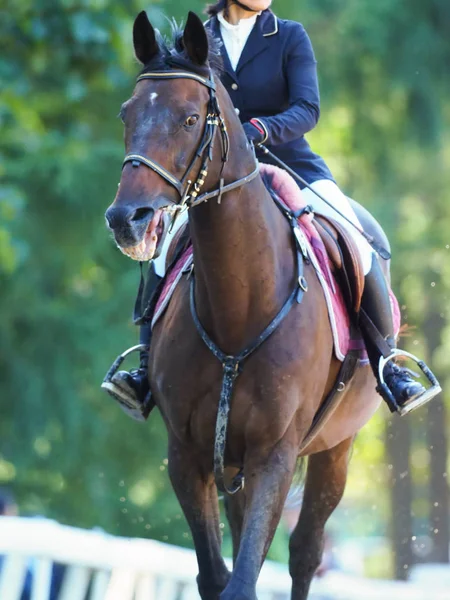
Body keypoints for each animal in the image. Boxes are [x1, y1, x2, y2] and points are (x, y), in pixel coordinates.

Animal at [105, 10, 390, 600]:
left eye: (191, 119)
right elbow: (219, 576)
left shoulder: (273, 457)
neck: (239, 309)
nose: (128, 220)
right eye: (127, 113)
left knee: (306, 552)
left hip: (336, 448)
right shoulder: (188, 455)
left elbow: (245, 578)